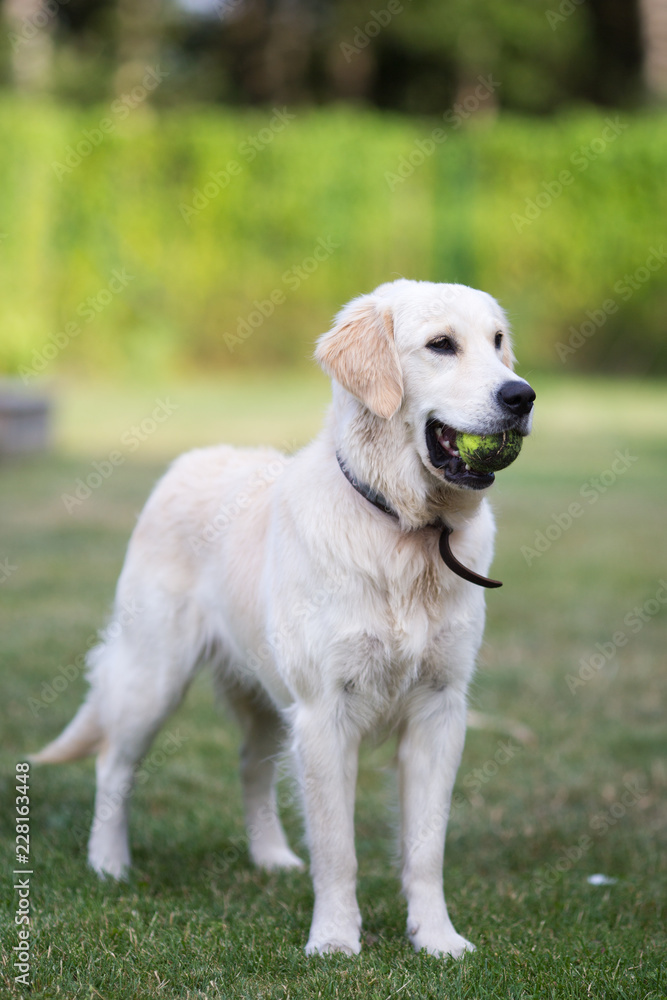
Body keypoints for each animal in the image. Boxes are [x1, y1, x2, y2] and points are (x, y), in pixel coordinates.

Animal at [36, 278, 536, 956]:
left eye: (497, 341)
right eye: (441, 345)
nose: (521, 396)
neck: (401, 531)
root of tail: (189, 459)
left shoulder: (440, 709)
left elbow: (426, 848)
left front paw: (436, 938)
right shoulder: (325, 713)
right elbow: (338, 847)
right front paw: (335, 939)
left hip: (269, 696)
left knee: (250, 765)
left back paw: (270, 857)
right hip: (153, 676)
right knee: (113, 764)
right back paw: (109, 863)